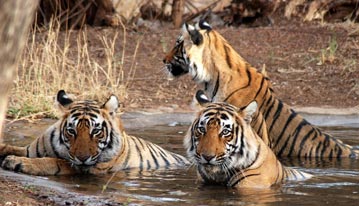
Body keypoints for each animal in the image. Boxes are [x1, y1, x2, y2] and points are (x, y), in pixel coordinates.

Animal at [0, 90, 190, 175]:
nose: (82, 158)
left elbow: (54, 161)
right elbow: (10, 147)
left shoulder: (86, 167)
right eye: (71, 131)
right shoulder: (29, 149)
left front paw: (16, 162)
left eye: (96, 131)